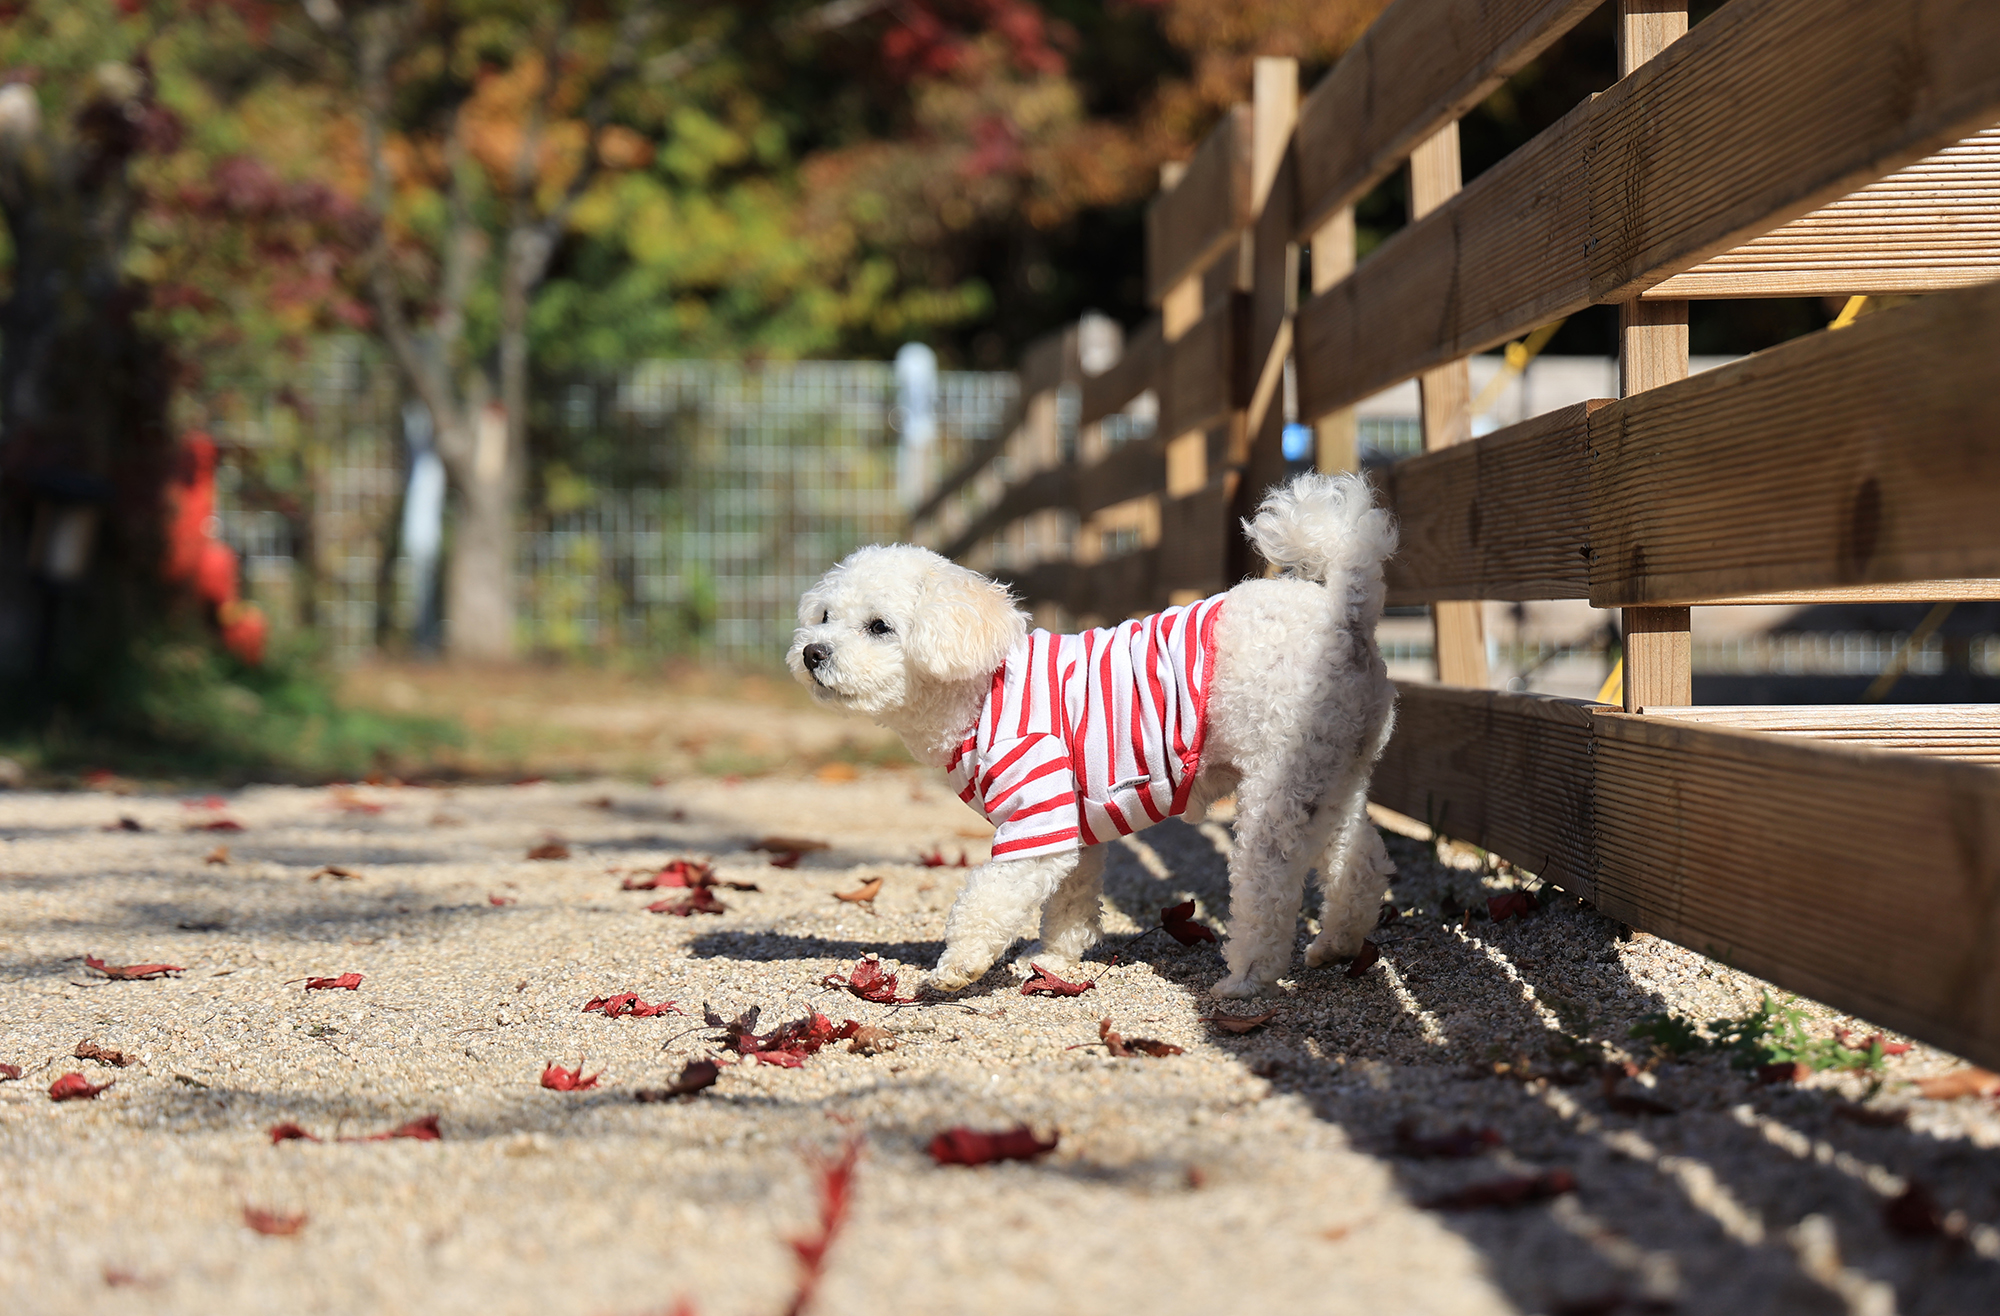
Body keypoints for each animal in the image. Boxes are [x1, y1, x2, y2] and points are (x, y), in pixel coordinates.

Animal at [788, 472, 1400, 996]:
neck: (980, 688)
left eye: (879, 627)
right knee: (1361, 859)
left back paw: (1247, 977)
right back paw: (1336, 944)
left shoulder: (1037, 808)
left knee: (1269, 888)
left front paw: (959, 966)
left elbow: (994, 893)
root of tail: (1343, 610)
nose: (812, 652)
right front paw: (1055, 960)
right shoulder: (1075, 819)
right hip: (1331, 774)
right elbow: (1071, 899)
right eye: (824, 616)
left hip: (1276, 787)